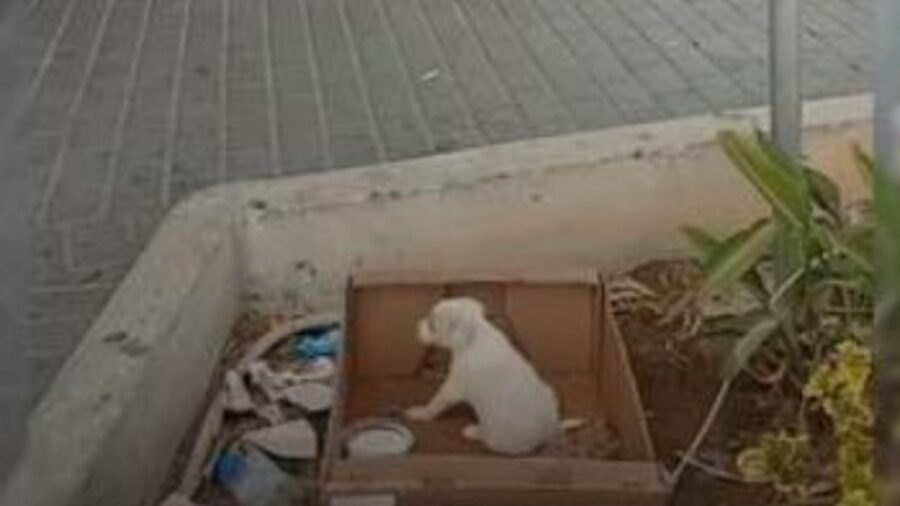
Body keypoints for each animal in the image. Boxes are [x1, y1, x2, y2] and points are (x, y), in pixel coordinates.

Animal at [406, 296, 564, 454]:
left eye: (432, 325)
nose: (416, 326)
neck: (475, 335)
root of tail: (545, 434)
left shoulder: (454, 384)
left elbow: (436, 401)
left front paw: (421, 412)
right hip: (549, 392)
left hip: (496, 436)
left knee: (487, 437)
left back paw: (474, 432)